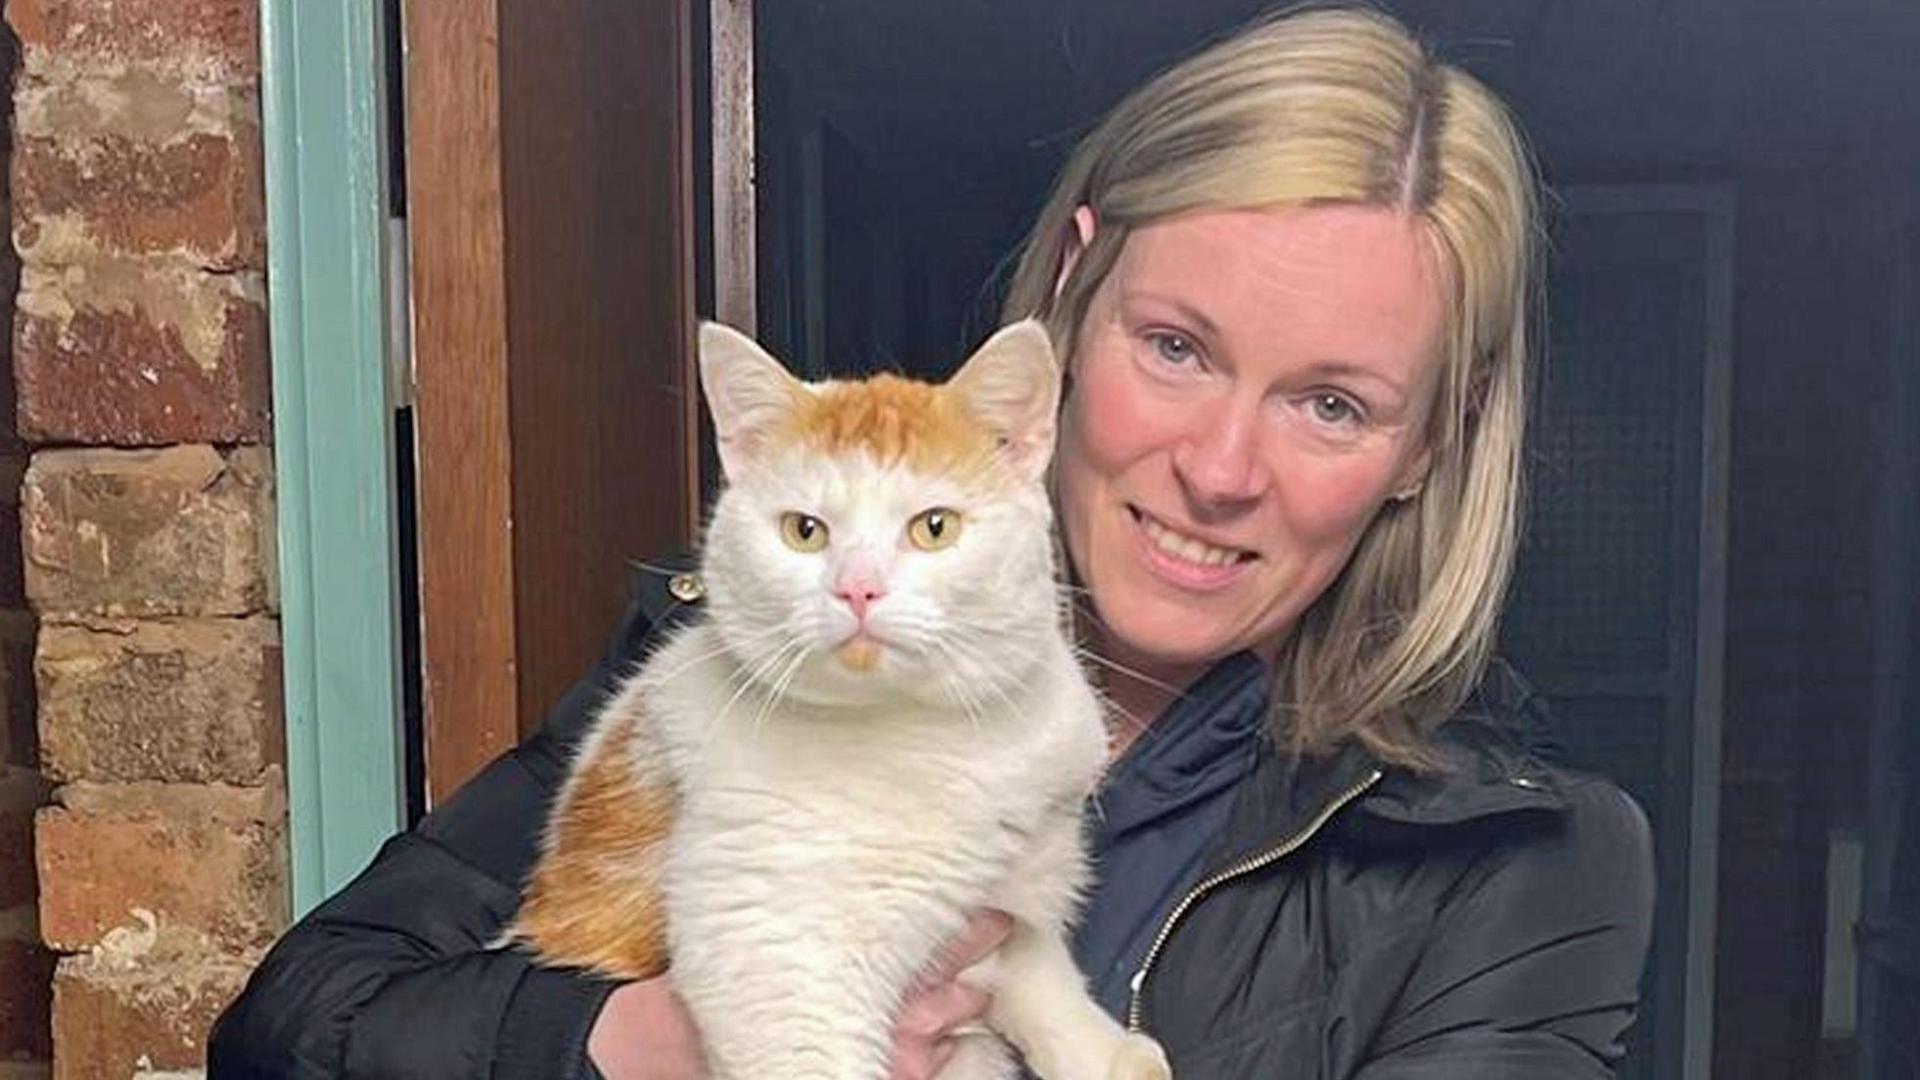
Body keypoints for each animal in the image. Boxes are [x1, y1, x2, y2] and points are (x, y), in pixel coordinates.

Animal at [510, 319, 1167, 1076]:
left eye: (934, 526)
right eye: (804, 531)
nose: (857, 589)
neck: (930, 732)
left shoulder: (1015, 888)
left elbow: (1038, 972)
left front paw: (1109, 1052)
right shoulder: (774, 959)